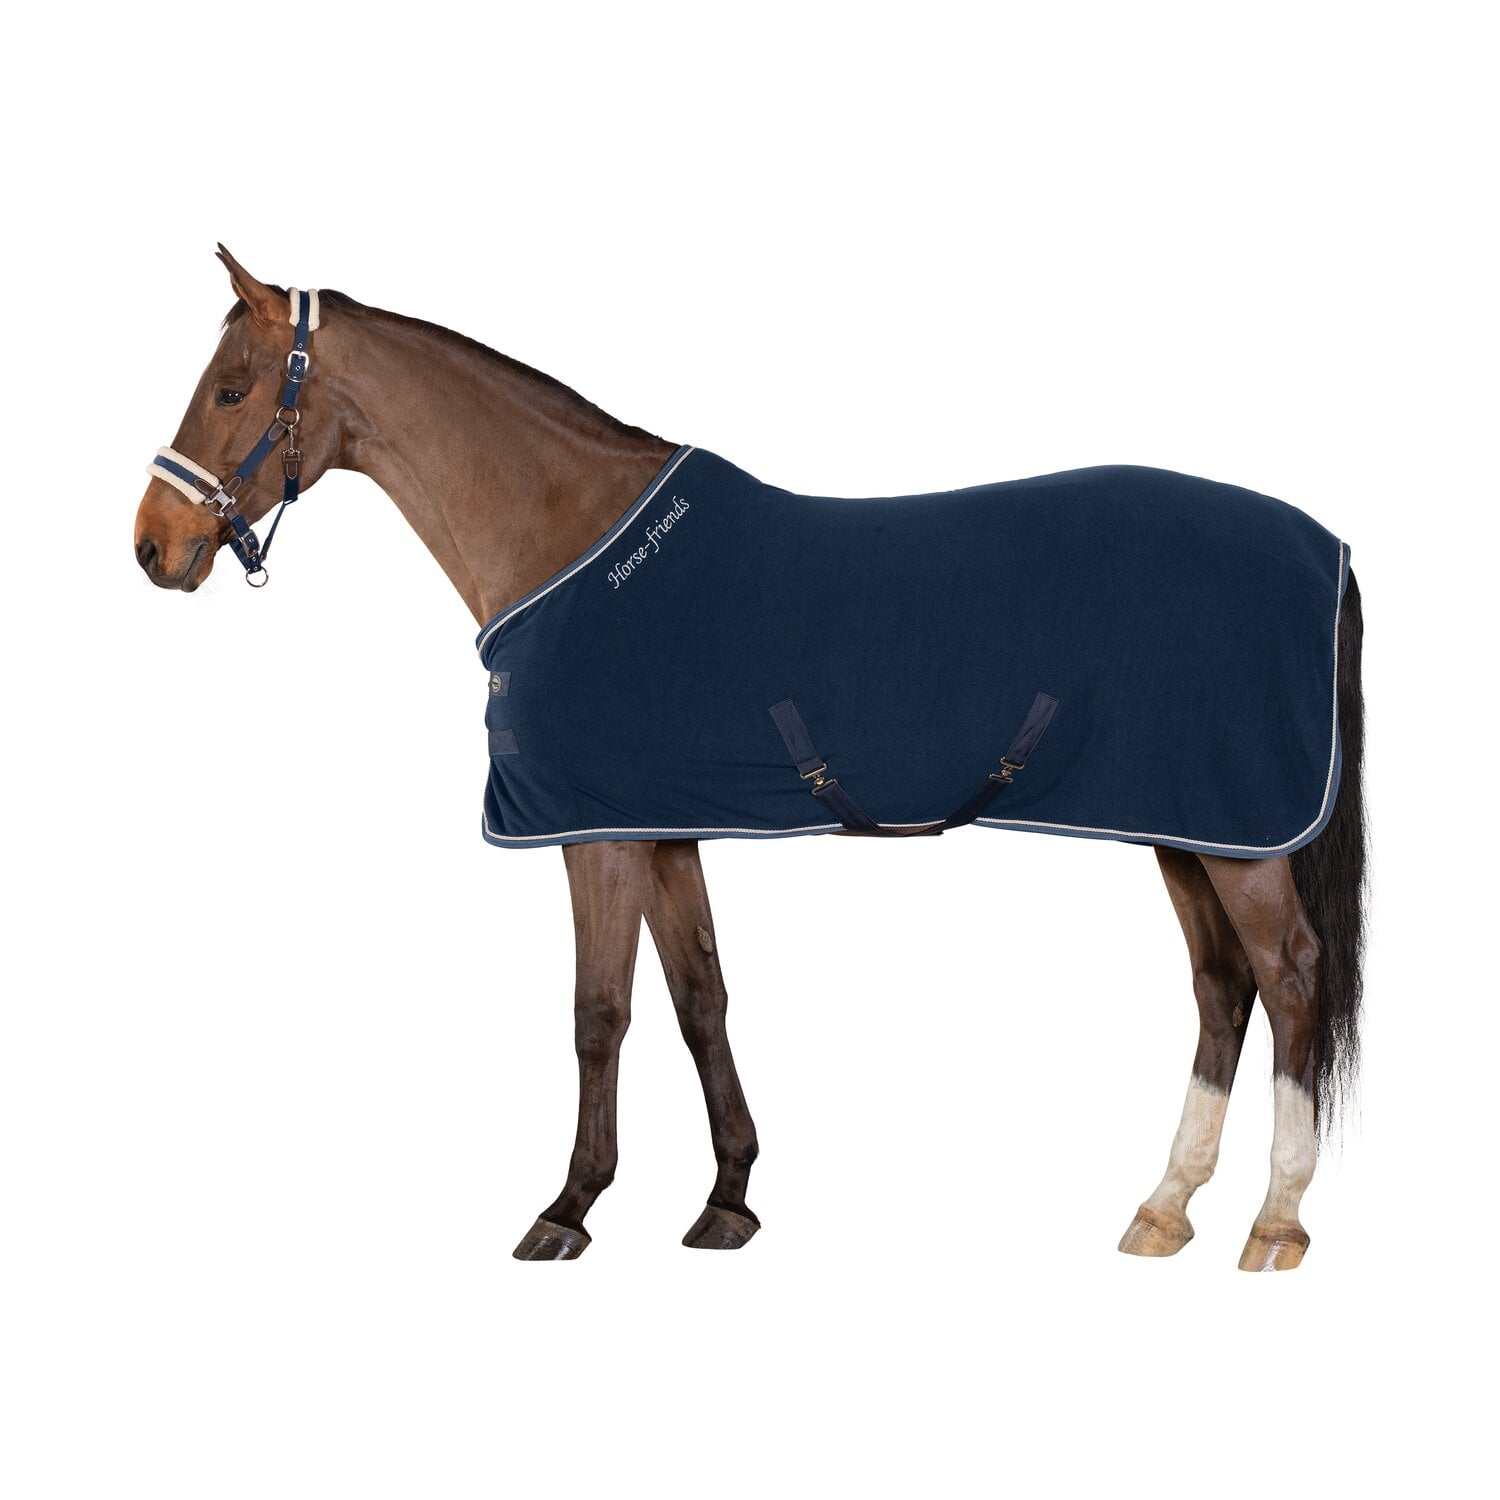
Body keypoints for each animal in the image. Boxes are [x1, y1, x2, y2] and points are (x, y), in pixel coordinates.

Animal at [134, 248, 1365, 1269]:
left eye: (232, 390)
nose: (155, 545)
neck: (565, 535)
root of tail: (1324, 546)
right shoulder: (663, 827)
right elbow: (700, 997)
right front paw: (728, 1199)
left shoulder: (596, 832)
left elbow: (598, 1011)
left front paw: (568, 1209)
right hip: (1184, 825)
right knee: (1221, 986)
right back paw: (1165, 1207)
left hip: (1240, 835)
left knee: (1291, 975)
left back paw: (1275, 1221)